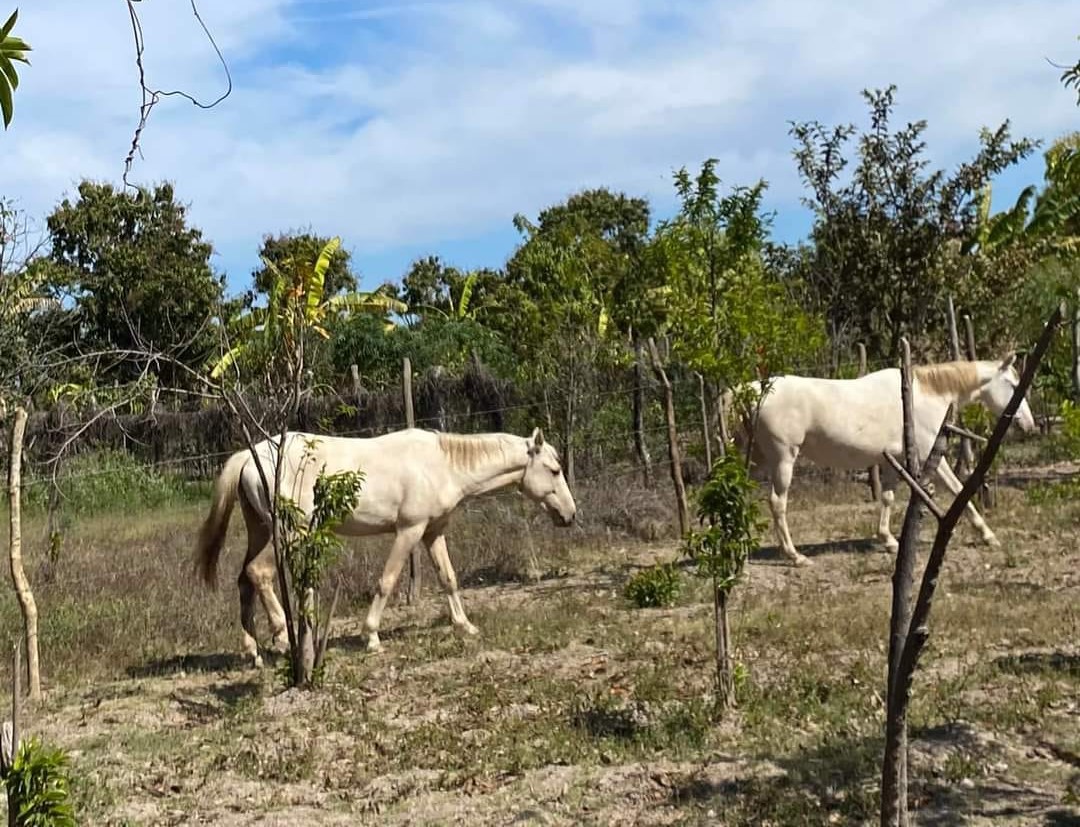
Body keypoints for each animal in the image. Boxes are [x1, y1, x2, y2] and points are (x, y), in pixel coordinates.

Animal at [195, 427, 577, 666]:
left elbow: (448, 578)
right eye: (554, 470)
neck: (441, 465)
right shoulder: (409, 530)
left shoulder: (432, 532)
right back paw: (282, 638)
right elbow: (387, 581)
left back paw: (253, 652)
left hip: (260, 530)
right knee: (258, 573)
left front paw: (464, 626)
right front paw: (372, 637)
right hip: (289, 533)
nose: (571, 515)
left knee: (244, 580)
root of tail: (249, 456)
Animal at [727, 355, 1035, 566]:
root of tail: (750, 389)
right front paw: (988, 535)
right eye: (1012, 385)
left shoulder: (891, 462)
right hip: (782, 459)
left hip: (755, 461)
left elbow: (887, 498)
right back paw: (794, 556)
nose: (1028, 424)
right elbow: (959, 489)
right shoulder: (931, 457)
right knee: (777, 503)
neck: (923, 396)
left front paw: (888, 540)